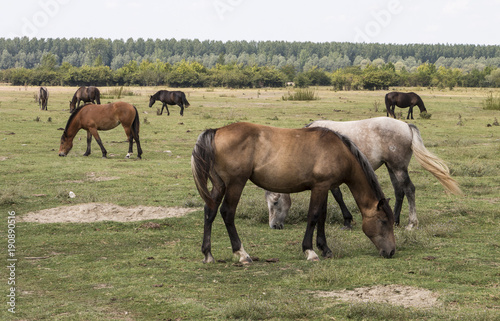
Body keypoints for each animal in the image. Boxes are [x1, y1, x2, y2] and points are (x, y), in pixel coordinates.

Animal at [191, 121, 394, 264]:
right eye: (383, 221)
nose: (391, 252)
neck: (339, 151)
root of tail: (217, 131)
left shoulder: (324, 187)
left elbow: (322, 216)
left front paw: (325, 249)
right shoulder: (320, 187)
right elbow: (313, 216)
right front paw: (310, 251)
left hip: (220, 185)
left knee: (210, 211)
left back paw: (208, 254)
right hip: (235, 184)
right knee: (227, 212)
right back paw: (242, 254)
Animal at [266, 117, 460, 230]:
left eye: (275, 202)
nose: (274, 226)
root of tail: (405, 125)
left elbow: (337, 196)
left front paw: (347, 221)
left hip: (398, 167)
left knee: (409, 189)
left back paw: (412, 224)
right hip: (391, 167)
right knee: (399, 191)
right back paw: (395, 220)